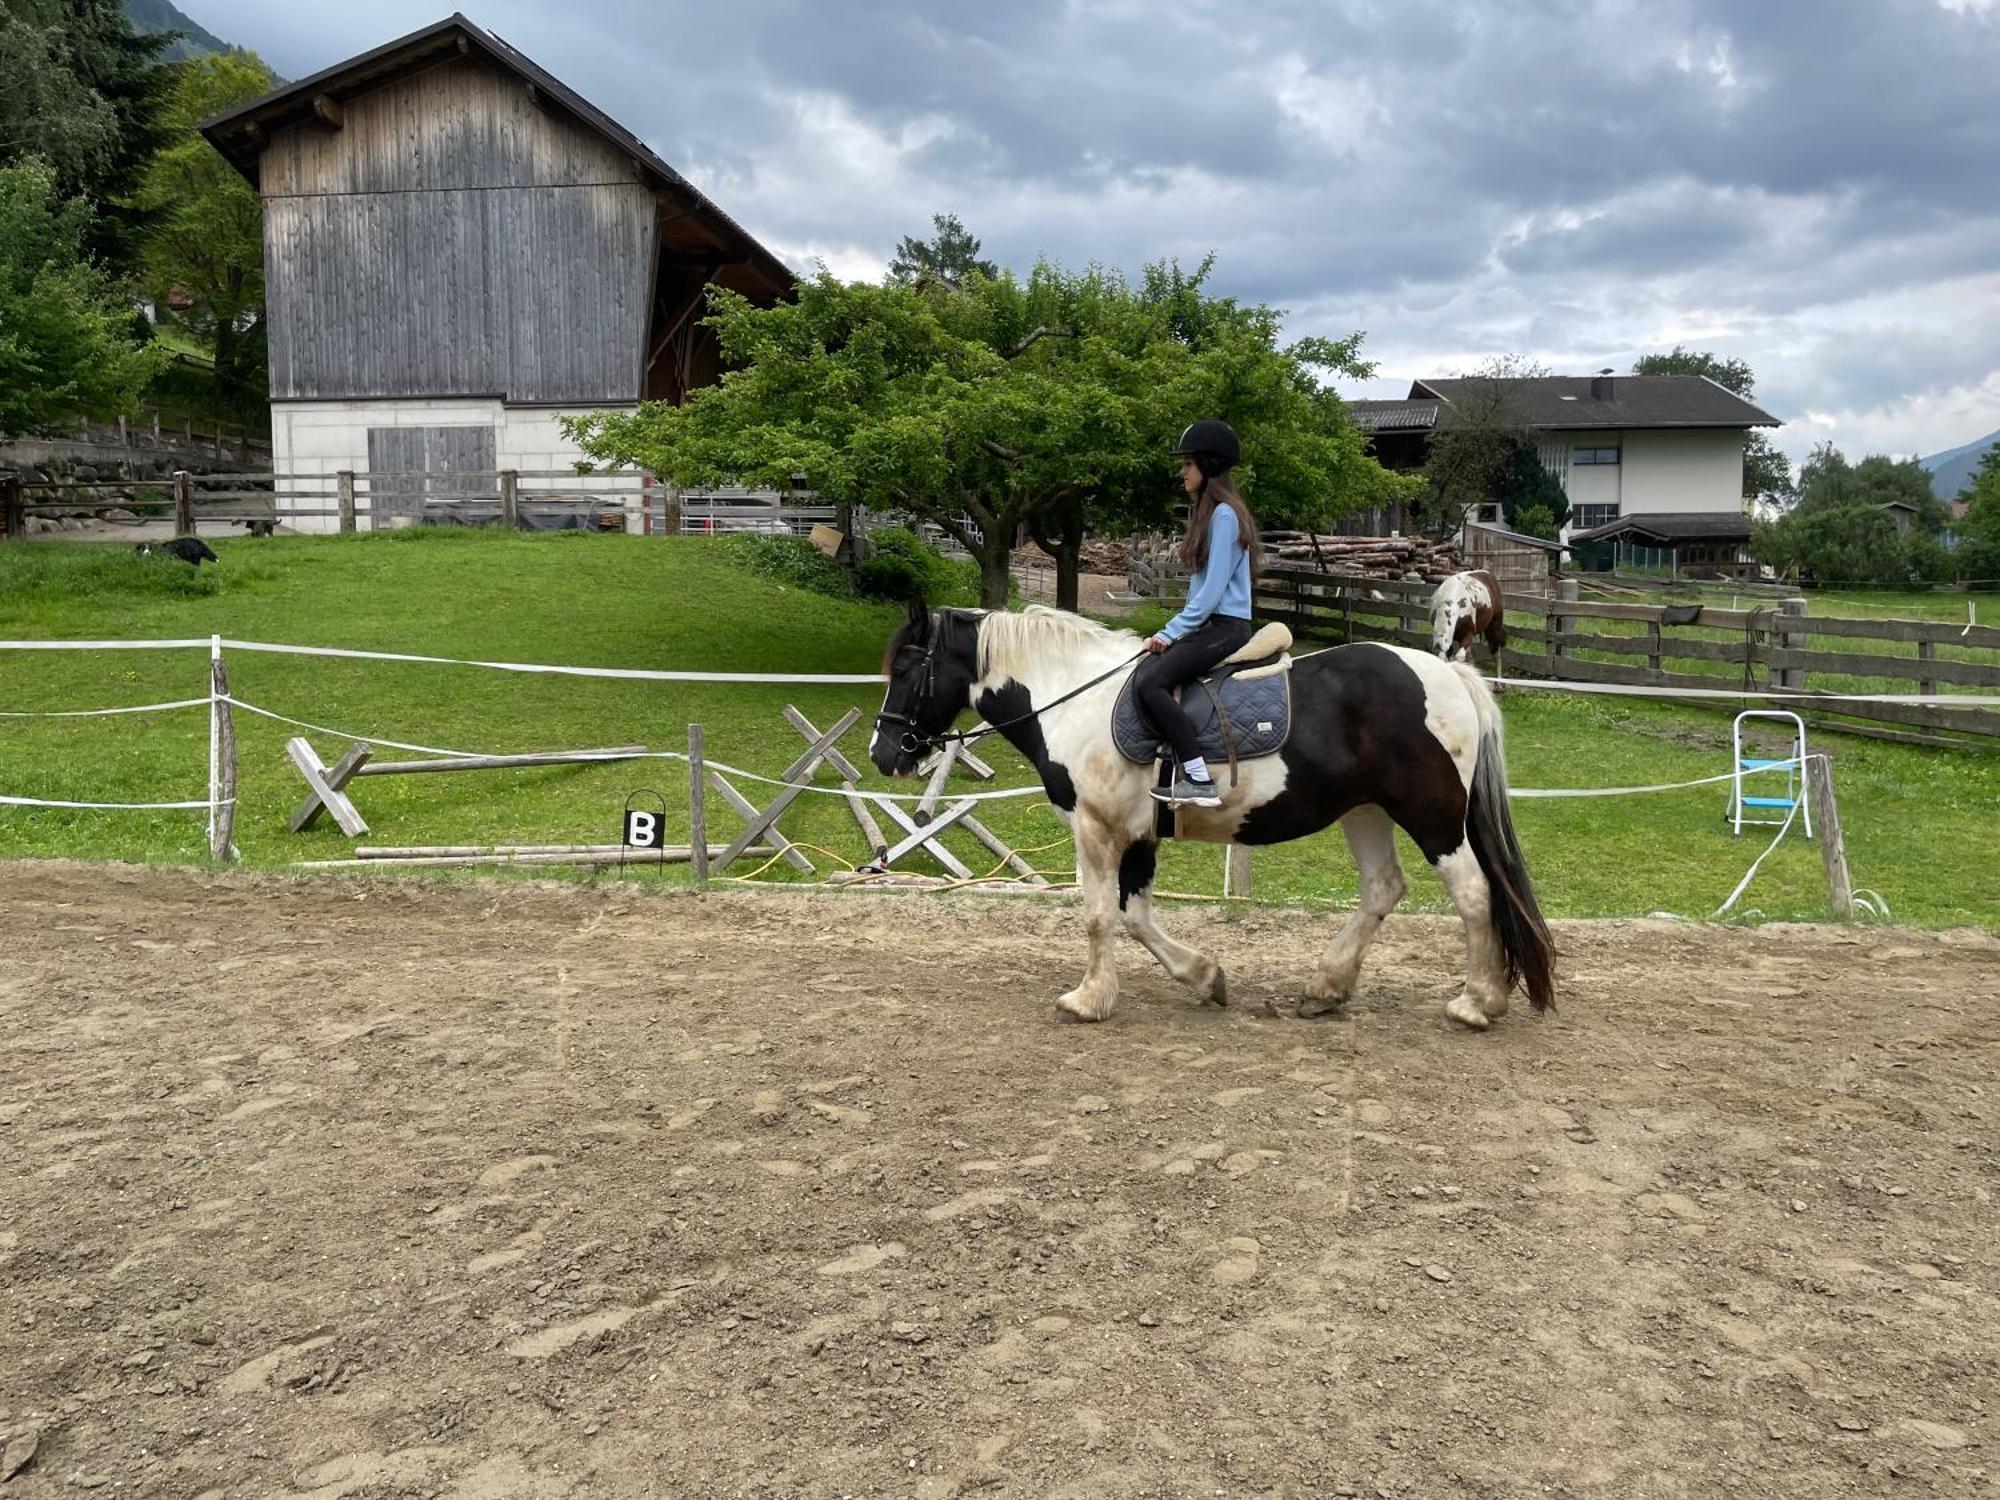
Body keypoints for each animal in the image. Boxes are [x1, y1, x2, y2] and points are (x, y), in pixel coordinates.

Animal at [868, 604, 1552, 1032]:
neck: (1075, 698)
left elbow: (1098, 917)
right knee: (1384, 888)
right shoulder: (1140, 833)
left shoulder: (1097, 828)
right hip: (1365, 812)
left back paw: (1477, 1003)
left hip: (1431, 815)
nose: (883, 753)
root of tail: (1451, 674)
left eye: (903, 669)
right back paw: (1325, 990)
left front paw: (1088, 1000)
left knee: (1474, 895)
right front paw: (1205, 977)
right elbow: (1135, 916)